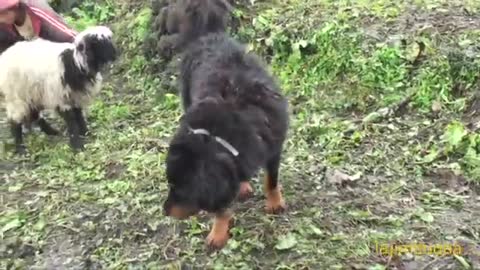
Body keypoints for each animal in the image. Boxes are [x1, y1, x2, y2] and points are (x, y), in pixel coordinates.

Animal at [0, 25, 116, 154]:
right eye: (97, 43)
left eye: (109, 39)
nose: (115, 55)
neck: (76, 63)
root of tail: (4, 56)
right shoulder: (61, 98)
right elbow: (71, 121)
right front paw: (77, 145)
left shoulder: (74, 96)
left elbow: (79, 116)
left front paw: (85, 133)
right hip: (16, 96)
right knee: (15, 121)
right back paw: (21, 149)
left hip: (32, 92)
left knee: (34, 114)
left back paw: (51, 132)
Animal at [163, 32, 288, 250]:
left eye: (182, 190)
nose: (165, 211)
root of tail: (208, 36)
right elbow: (222, 206)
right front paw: (219, 232)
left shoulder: (273, 147)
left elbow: (271, 181)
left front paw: (274, 203)